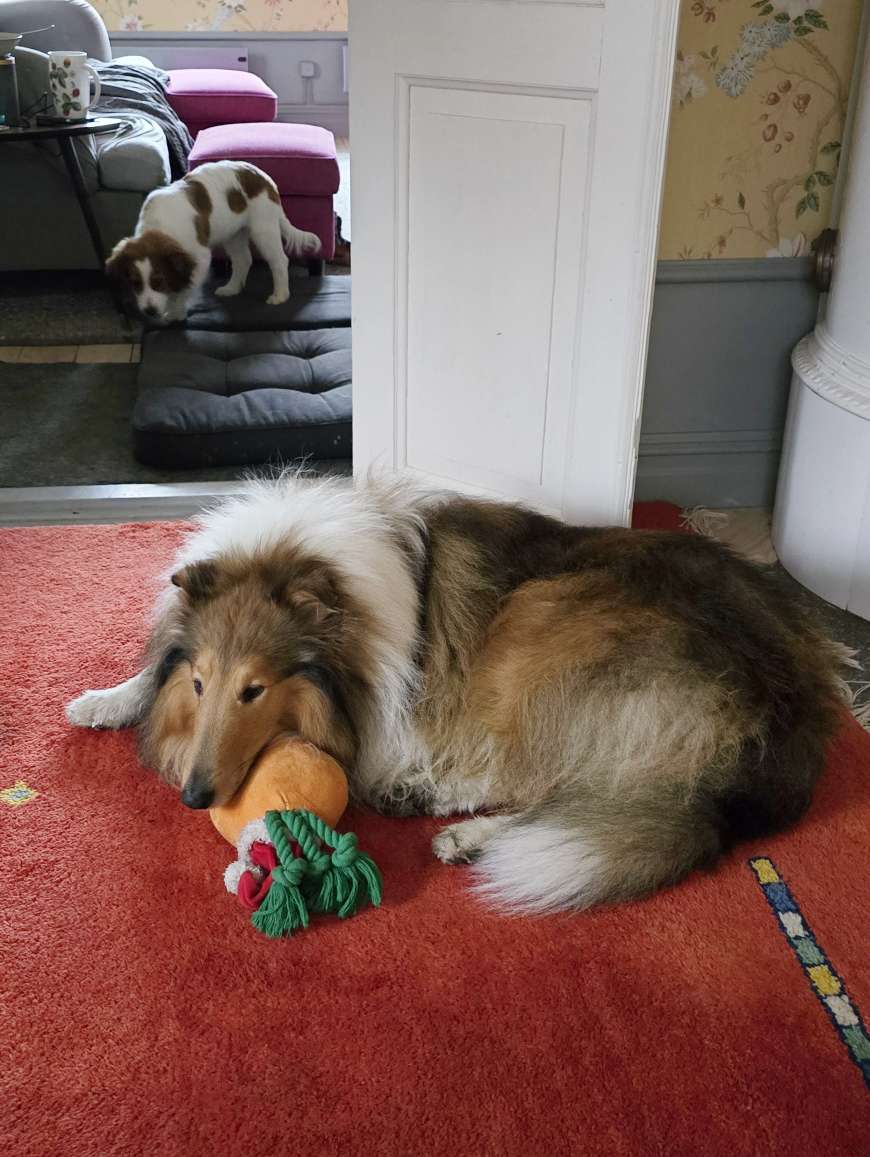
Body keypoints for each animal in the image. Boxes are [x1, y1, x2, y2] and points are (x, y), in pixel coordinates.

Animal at [66, 475, 847, 912]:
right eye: (200, 682)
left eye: (256, 689)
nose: (194, 797)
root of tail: (794, 709)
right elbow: (148, 677)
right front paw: (103, 699)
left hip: (545, 624)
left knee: (550, 780)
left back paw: (454, 822)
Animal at [105, 161, 321, 322]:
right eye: (135, 283)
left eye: (159, 282)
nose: (149, 311)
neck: (160, 227)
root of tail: (264, 178)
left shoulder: (200, 257)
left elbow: (184, 288)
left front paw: (176, 312)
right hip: (233, 232)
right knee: (243, 260)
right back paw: (232, 288)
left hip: (263, 228)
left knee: (279, 261)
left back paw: (280, 294)